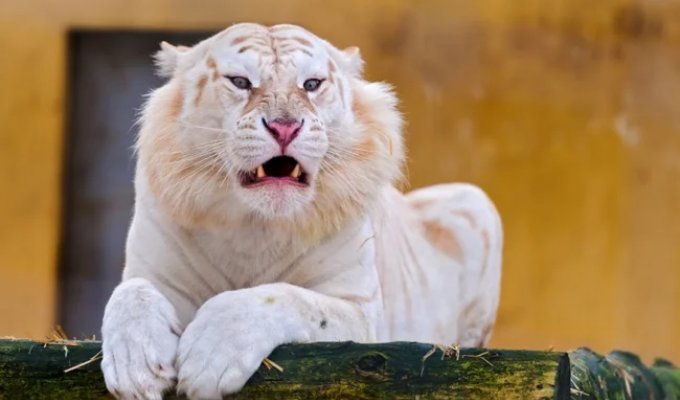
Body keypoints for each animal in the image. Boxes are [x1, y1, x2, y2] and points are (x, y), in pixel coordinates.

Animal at [100, 22, 503, 400]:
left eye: (311, 84)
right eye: (240, 82)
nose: (285, 127)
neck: (253, 225)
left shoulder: (361, 312)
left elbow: (287, 298)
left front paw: (209, 356)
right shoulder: (153, 272)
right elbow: (130, 293)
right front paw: (135, 367)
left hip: (475, 201)